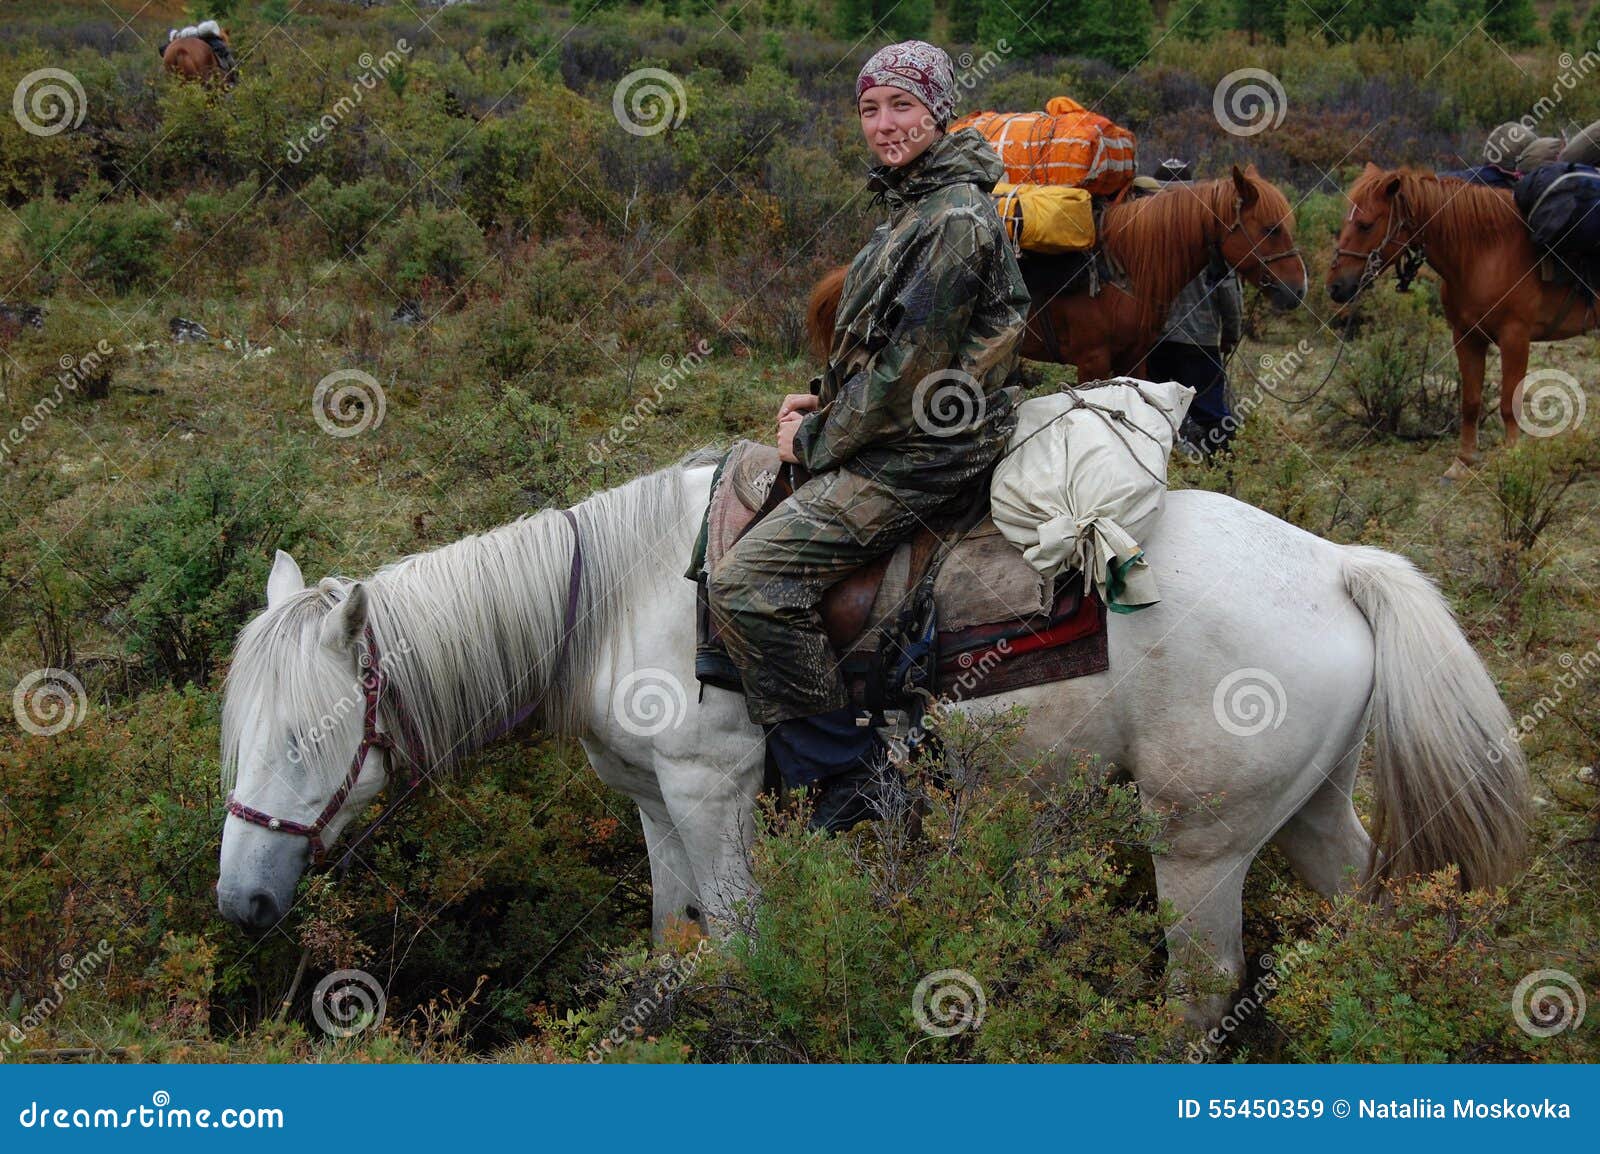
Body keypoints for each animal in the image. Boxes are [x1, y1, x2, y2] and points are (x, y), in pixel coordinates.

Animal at [219, 454, 1529, 1024]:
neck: (619, 599)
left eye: (313, 736)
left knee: (1198, 992)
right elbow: (671, 935)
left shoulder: (714, 794)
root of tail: (1339, 565)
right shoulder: (652, 803)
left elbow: (733, 943)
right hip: (1307, 811)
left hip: (1197, 848)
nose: (240, 902)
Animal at [1324, 160, 1600, 476]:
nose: (1335, 286)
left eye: (1365, 224)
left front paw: (1512, 459)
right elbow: (1470, 401)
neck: (1486, 252)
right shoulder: (1466, 335)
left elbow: (1509, 403)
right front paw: (1463, 460)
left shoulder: (1515, 336)